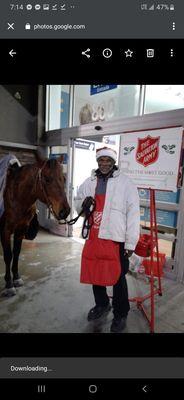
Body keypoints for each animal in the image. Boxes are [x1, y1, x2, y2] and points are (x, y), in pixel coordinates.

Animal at [0, 153, 70, 296]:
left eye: (64, 178)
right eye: (47, 179)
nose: (65, 211)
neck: (16, 196)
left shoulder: (21, 229)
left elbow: (16, 252)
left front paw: (16, 278)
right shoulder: (6, 230)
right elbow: (8, 255)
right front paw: (9, 284)